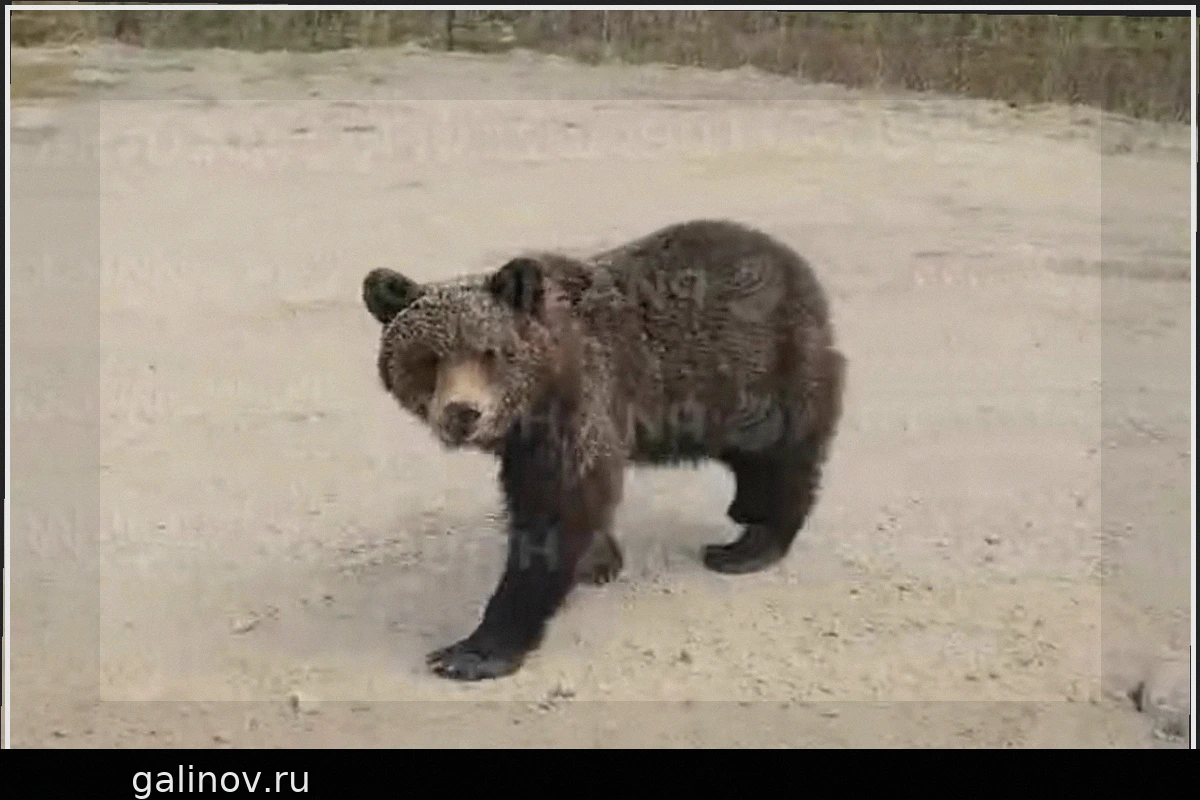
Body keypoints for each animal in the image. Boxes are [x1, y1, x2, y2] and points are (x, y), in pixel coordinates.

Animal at [362, 219, 846, 681]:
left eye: (491, 352)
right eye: (428, 357)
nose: (463, 412)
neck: (544, 386)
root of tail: (793, 263)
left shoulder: (580, 403)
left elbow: (556, 511)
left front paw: (475, 650)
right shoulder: (527, 438)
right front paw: (598, 561)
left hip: (764, 369)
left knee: (782, 454)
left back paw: (751, 544)